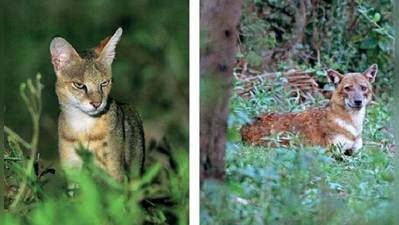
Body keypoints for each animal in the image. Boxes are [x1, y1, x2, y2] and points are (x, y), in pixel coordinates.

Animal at [50, 28, 145, 183]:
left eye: (104, 83)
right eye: (79, 85)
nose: (97, 103)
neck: (82, 128)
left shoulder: (114, 174)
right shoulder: (74, 175)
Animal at [239, 64, 380, 156]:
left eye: (363, 88)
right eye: (347, 88)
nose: (358, 101)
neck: (354, 125)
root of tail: (244, 126)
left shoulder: (356, 152)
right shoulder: (331, 152)